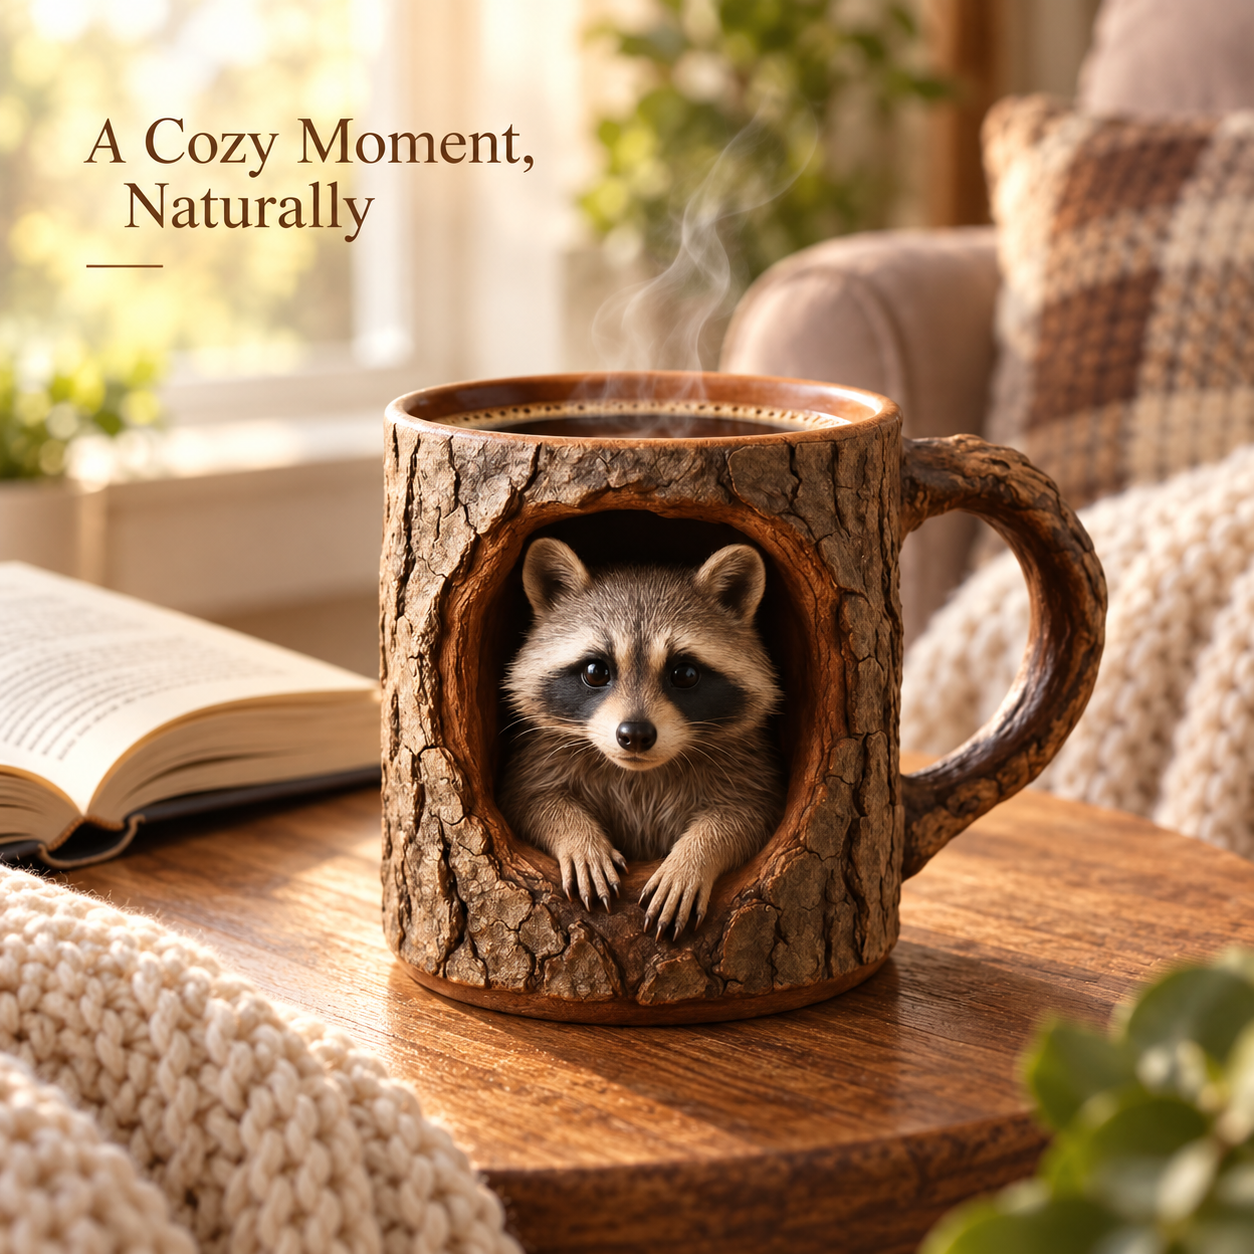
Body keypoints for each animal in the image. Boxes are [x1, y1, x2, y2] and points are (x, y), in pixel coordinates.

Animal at [499, 537, 785, 938]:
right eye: (596, 671)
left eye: (684, 674)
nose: (634, 735)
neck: (640, 773)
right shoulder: (540, 753)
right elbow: (532, 799)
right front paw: (578, 837)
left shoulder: (747, 763)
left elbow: (746, 814)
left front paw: (694, 857)